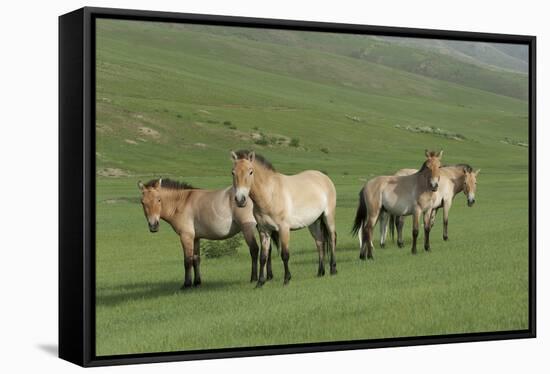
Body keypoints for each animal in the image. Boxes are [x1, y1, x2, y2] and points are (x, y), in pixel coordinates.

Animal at [138, 178, 268, 290]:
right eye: (142, 202)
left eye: (159, 199)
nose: (153, 225)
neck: (181, 202)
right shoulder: (196, 238)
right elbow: (196, 259)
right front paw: (197, 282)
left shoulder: (186, 236)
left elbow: (187, 261)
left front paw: (186, 284)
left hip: (248, 229)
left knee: (254, 250)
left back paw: (254, 278)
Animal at [230, 149, 340, 286]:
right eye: (233, 172)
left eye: (251, 171)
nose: (240, 200)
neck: (270, 194)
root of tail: (324, 177)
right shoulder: (264, 231)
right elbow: (263, 257)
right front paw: (260, 282)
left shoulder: (284, 229)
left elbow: (285, 255)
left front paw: (287, 279)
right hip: (313, 223)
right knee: (320, 242)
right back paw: (320, 272)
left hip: (328, 216)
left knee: (332, 238)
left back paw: (333, 269)